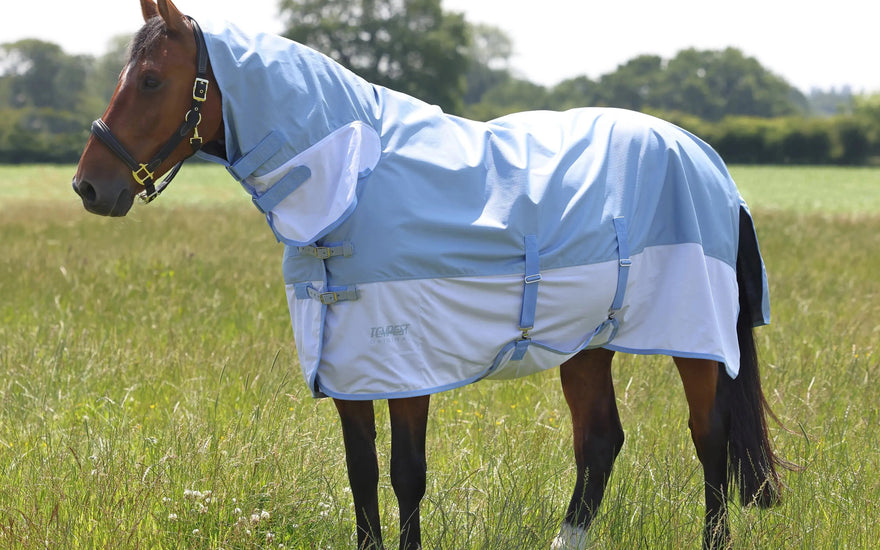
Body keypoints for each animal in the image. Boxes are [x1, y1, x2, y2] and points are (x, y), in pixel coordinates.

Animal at [72, 1, 789, 548]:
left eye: (151, 80)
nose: (89, 187)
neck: (356, 182)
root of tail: (710, 163)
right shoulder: (349, 366)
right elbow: (362, 472)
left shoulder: (406, 365)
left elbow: (406, 474)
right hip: (586, 341)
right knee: (600, 442)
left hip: (696, 340)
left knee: (709, 439)